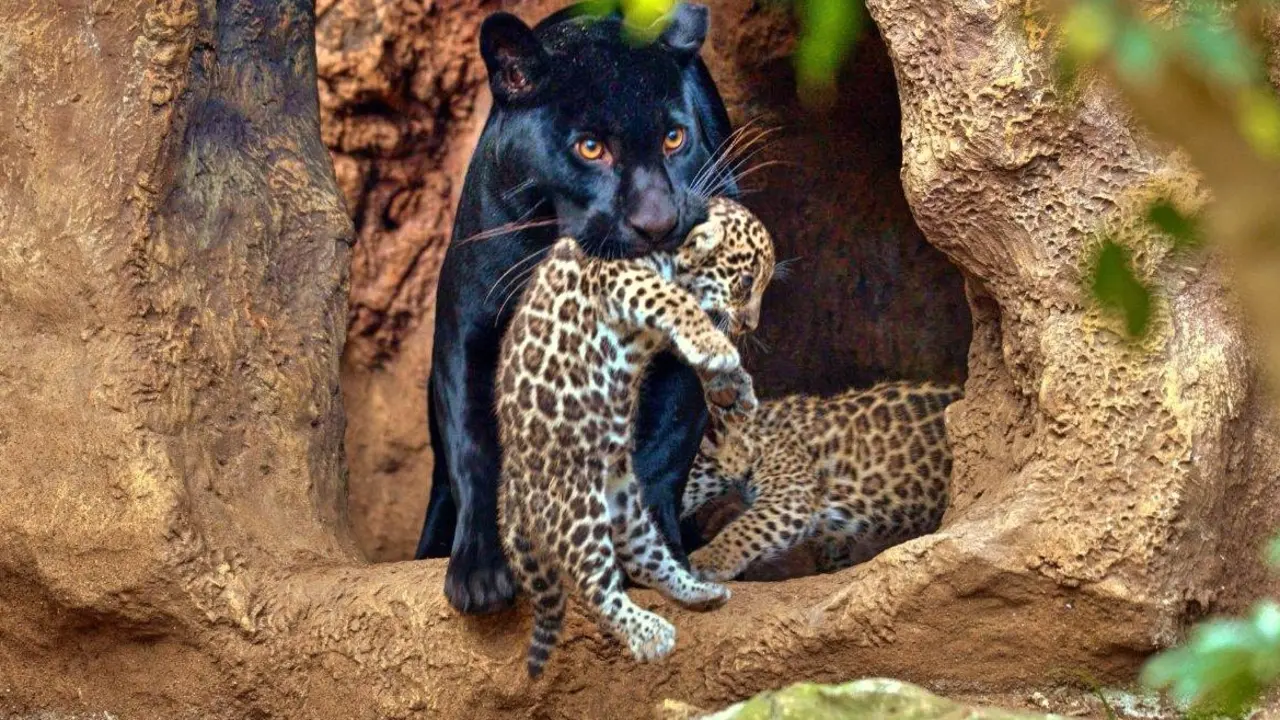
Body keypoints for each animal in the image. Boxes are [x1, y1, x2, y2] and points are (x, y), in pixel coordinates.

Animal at [495, 197, 775, 678]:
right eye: (744, 281)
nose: (751, 325)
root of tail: (513, 480)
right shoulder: (622, 277)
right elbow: (677, 301)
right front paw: (719, 349)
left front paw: (731, 382)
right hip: (576, 505)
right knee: (596, 584)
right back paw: (649, 633)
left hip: (624, 499)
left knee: (644, 558)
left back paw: (698, 592)